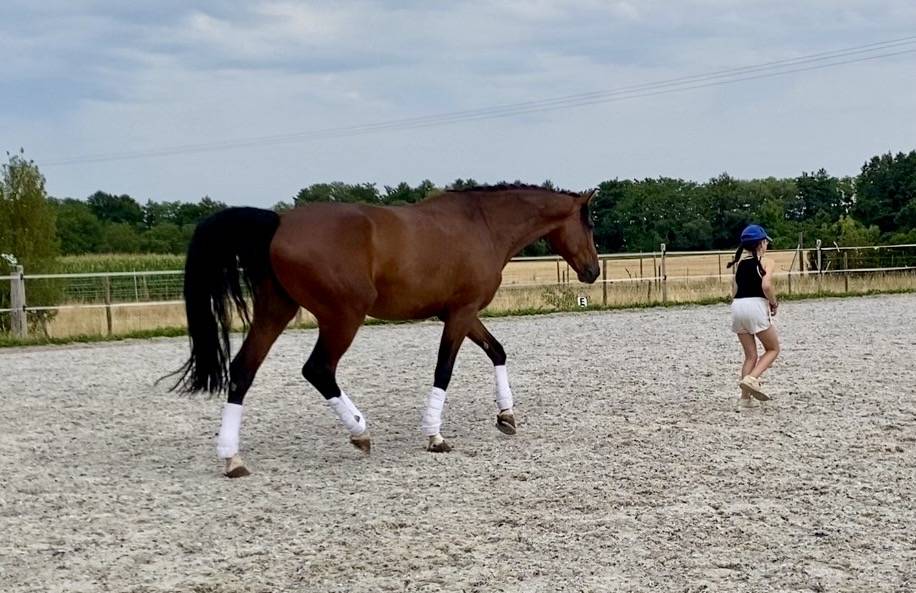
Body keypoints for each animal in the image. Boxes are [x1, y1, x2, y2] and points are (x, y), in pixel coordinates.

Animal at [171, 183, 600, 477]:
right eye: (590, 225)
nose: (593, 271)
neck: (483, 225)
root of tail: (278, 222)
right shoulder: (460, 315)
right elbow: (444, 370)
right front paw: (435, 435)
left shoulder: (460, 313)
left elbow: (497, 351)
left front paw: (506, 415)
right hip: (343, 317)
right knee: (318, 370)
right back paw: (359, 431)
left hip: (276, 311)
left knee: (243, 370)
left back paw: (232, 458)